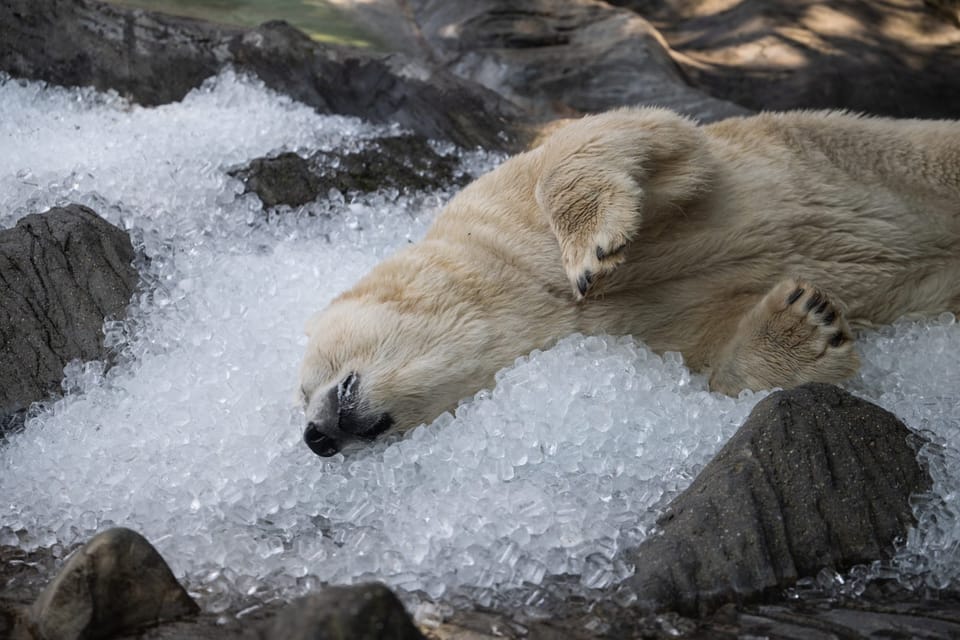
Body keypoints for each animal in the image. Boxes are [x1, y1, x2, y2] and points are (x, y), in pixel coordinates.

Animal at [298, 109, 960, 456]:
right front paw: (802, 323)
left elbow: (630, 137)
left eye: (307, 381)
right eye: (301, 403)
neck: (523, 289)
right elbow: (713, 356)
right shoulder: (651, 331)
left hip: (879, 152)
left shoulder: (500, 205)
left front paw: (594, 246)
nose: (316, 437)